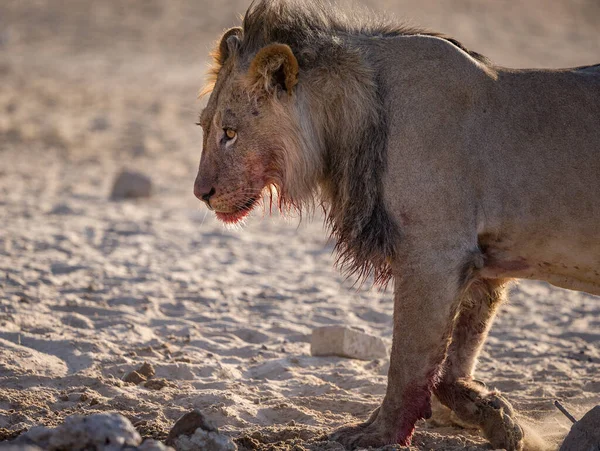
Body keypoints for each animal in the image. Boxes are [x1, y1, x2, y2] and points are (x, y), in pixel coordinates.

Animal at [193, 1, 600, 450]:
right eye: (204, 127)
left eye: (230, 133)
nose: (200, 193)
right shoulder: (483, 262)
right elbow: (451, 363)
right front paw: (496, 417)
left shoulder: (434, 255)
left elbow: (405, 363)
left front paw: (376, 433)